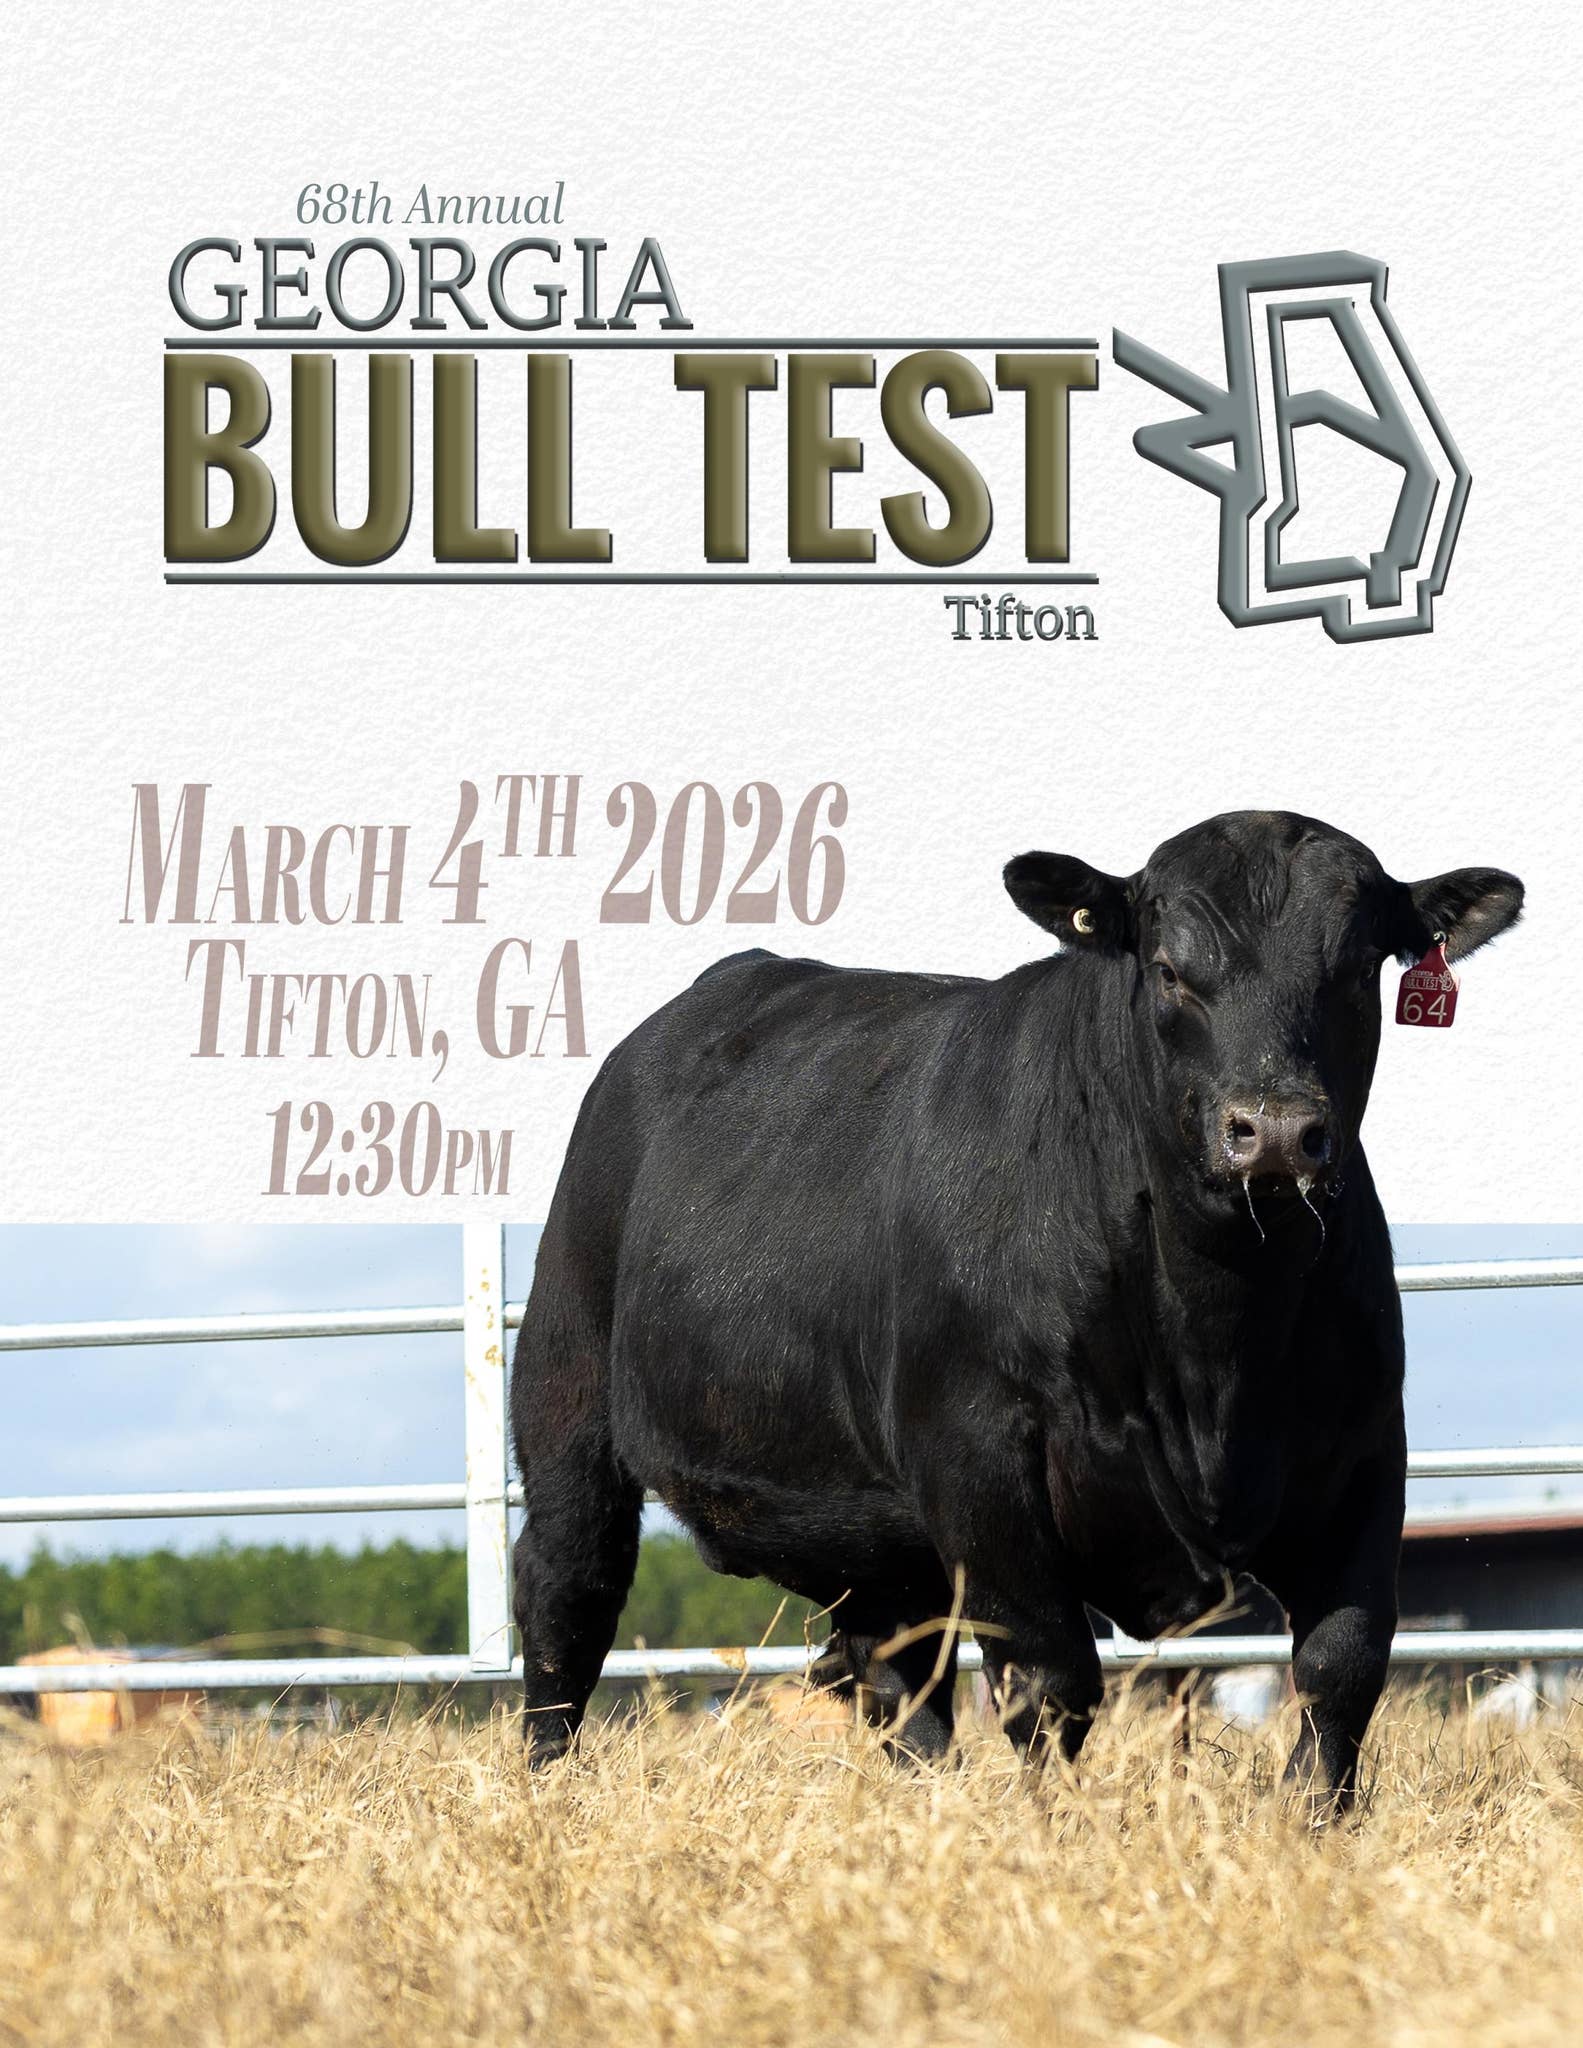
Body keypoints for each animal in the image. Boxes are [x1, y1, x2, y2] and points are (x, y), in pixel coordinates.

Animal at [510, 811, 1523, 1810]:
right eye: (1168, 969)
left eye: (1355, 969)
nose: (1273, 1131)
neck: (1212, 1347)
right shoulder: (981, 1461)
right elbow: (1049, 1681)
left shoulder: (1362, 1450)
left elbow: (1341, 1665)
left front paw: (1309, 1824)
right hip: (566, 1400)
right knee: (566, 1599)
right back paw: (545, 1789)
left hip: (867, 1525)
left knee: (896, 1676)